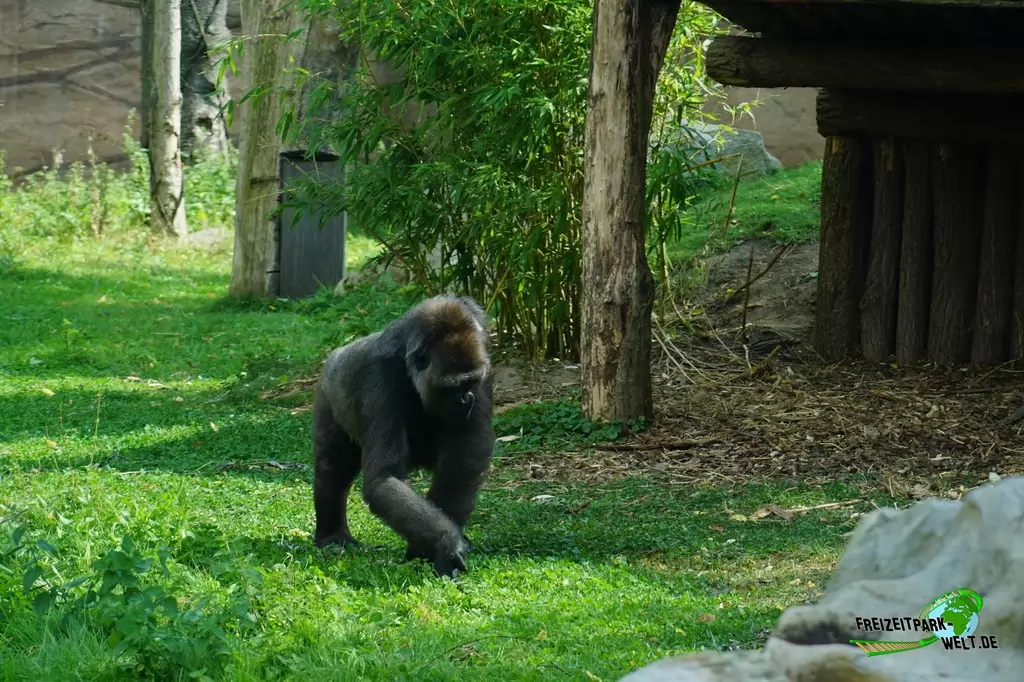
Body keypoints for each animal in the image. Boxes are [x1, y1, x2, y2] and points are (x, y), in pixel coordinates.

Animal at [311, 294, 495, 578]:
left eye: (470, 382)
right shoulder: (380, 376)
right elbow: (384, 478)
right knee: (333, 468)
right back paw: (332, 535)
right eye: (451, 387)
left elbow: (466, 459)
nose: (466, 400)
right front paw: (445, 542)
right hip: (328, 393)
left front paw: (429, 546)